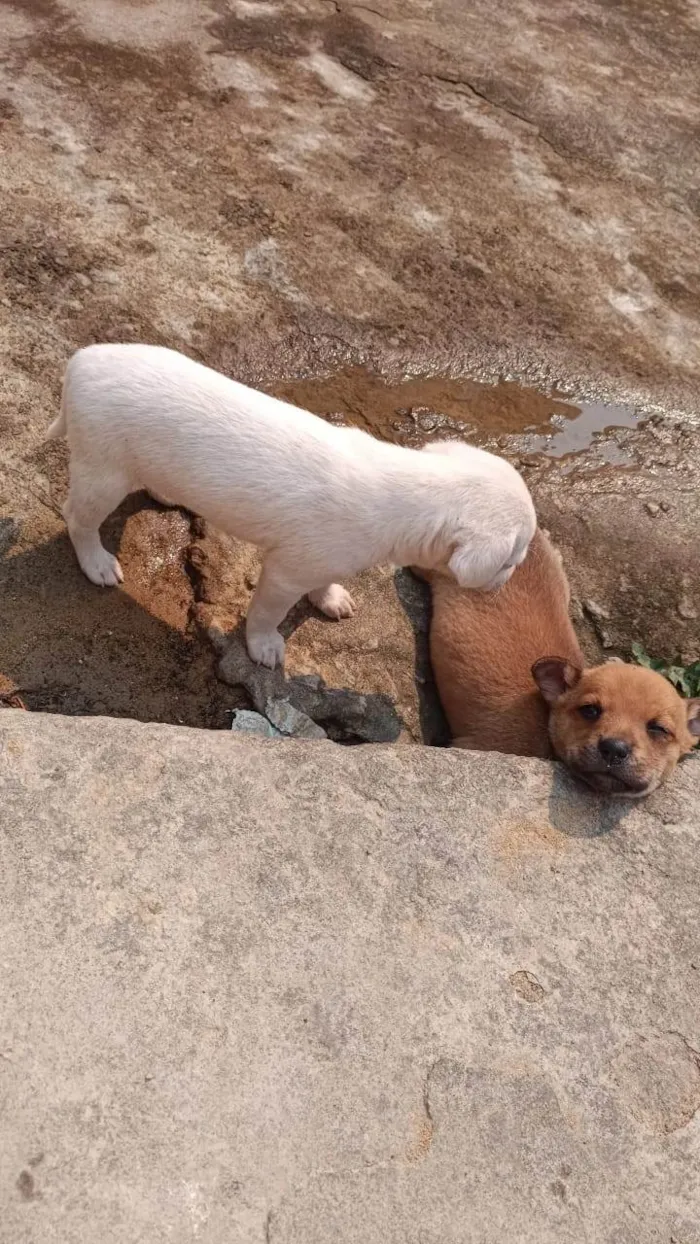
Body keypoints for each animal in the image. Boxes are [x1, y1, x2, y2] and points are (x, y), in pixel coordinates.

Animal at [47, 345, 537, 666]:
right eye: (512, 560)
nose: (508, 583)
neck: (408, 490)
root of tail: (79, 362)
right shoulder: (287, 569)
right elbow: (270, 611)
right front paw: (264, 647)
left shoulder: (322, 558)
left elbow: (322, 584)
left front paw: (331, 598)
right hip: (103, 469)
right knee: (78, 517)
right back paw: (97, 563)